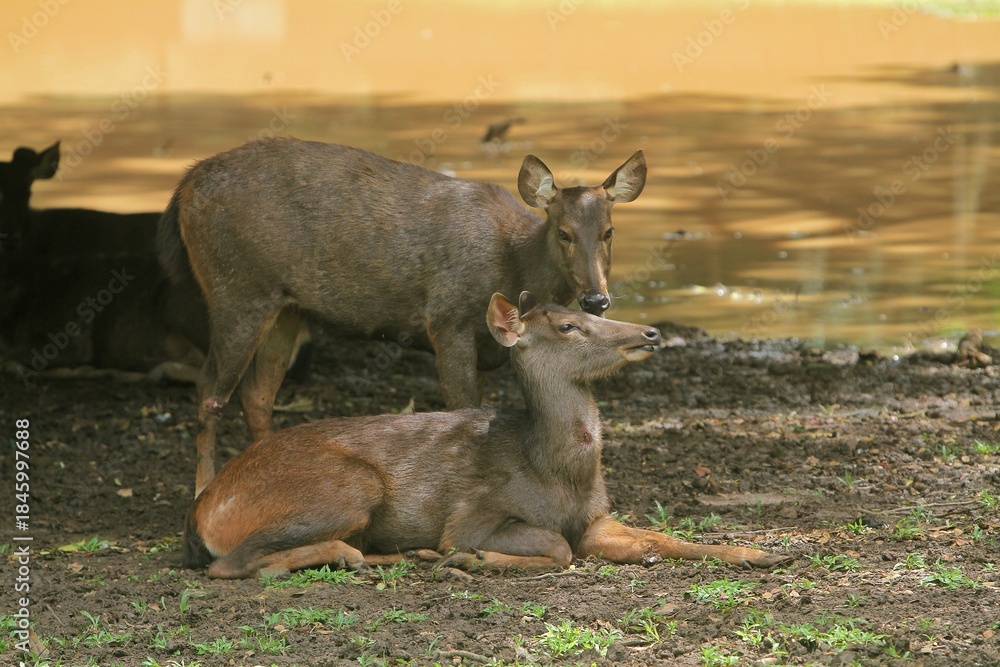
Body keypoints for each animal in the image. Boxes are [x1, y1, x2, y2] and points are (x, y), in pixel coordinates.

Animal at [157, 137, 648, 496]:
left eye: (609, 231)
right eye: (564, 233)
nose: (596, 299)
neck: (512, 262)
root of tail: (184, 187)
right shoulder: (447, 319)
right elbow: (460, 407)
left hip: (287, 308)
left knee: (257, 393)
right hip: (237, 288)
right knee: (209, 390)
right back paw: (203, 491)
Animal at [183, 292, 790, 579]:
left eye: (587, 310)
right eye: (568, 326)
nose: (650, 331)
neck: (557, 474)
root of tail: (204, 508)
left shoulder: (595, 518)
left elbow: (660, 538)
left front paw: (757, 553)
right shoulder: (472, 513)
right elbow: (555, 547)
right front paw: (473, 560)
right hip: (346, 486)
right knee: (229, 563)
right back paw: (365, 555)